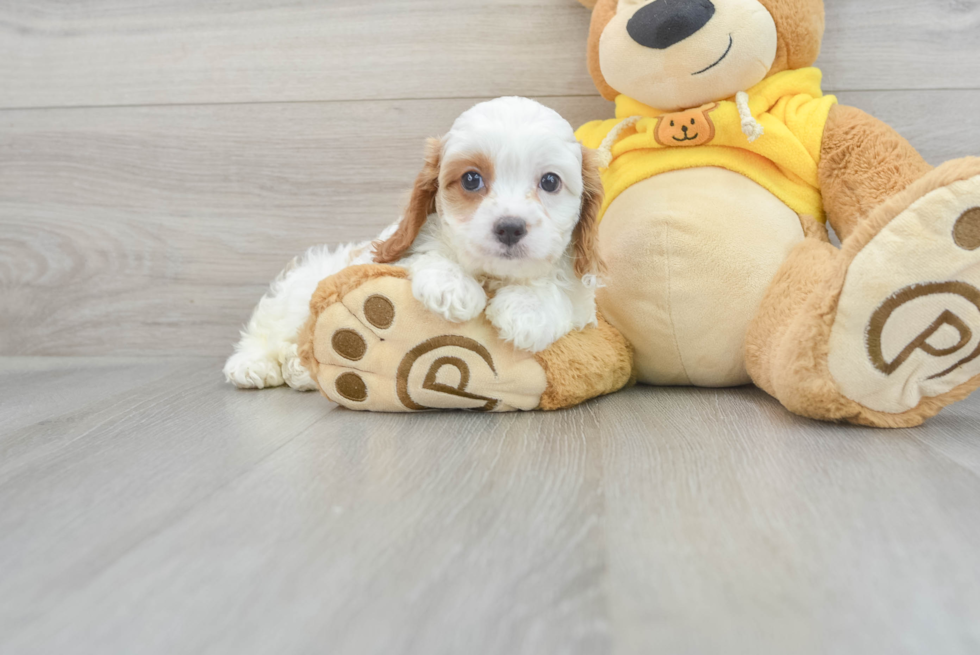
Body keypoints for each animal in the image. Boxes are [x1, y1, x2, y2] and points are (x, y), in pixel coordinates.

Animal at [225, 97, 604, 392]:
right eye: (471, 179)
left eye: (550, 182)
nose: (509, 228)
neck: (493, 276)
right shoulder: (395, 252)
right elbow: (427, 255)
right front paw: (452, 288)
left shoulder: (580, 301)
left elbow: (559, 292)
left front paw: (527, 310)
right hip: (298, 290)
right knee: (270, 327)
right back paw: (253, 364)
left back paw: (299, 369)